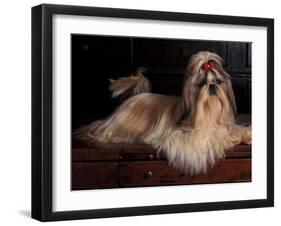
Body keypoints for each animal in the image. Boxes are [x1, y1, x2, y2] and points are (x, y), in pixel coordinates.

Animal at [75, 51, 252, 175]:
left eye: (219, 82)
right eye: (202, 83)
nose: (212, 86)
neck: (208, 114)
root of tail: (135, 96)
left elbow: (233, 129)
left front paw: (245, 135)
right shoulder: (186, 136)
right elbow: (213, 135)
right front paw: (224, 138)